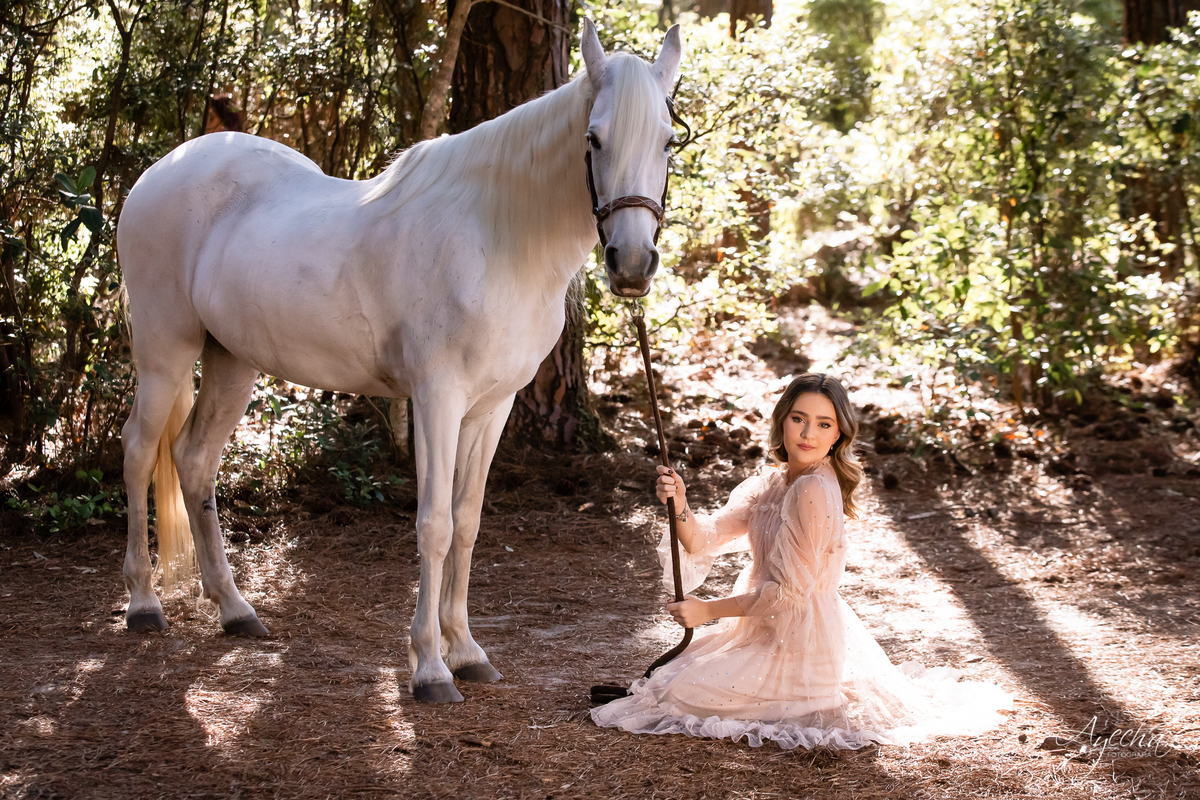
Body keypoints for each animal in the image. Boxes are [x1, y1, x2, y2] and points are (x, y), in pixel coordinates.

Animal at [115, 20, 683, 703]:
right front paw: (431, 669)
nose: (632, 264)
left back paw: (235, 610)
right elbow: (433, 524)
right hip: (164, 353)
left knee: (195, 462)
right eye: (594, 138)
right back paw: (143, 605)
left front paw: (467, 651)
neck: (497, 236)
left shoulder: (491, 408)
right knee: (138, 452)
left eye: (668, 140)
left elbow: (466, 522)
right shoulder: (437, 398)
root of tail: (160, 171)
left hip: (232, 362)